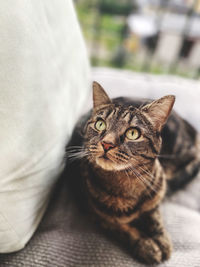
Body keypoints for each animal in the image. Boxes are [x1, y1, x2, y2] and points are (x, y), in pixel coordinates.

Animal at [67, 82, 200, 266]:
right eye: (100, 124)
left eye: (133, 133)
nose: (107, 143)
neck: (128, 185)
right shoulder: (97, 215)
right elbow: (124, 230)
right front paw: (148, 245)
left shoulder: (156, 197)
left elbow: (155, 218)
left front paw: (162, 239)